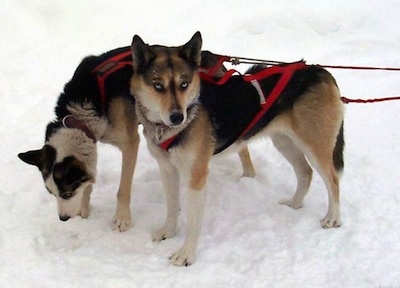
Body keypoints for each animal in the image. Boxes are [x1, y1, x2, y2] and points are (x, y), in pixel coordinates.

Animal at [130, 31, 344, 266]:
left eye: (184, 84)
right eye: (158, 85)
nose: (178, 117)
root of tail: (320, 71)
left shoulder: (196, 175)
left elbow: (194, 221)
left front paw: (186, 254)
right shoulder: (167, 169)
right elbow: (171, 206)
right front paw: (168, 231)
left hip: (315, 147)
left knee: (333, 181)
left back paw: (332, 218)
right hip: (284, 142)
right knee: (305, 172)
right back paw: (295, 203)